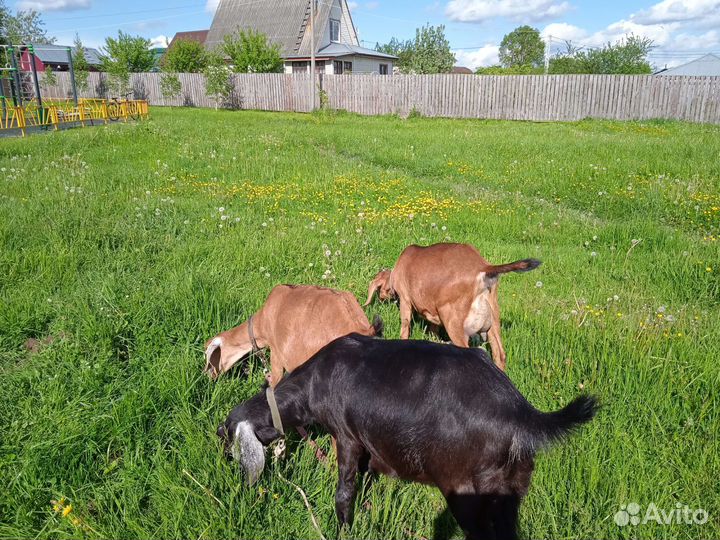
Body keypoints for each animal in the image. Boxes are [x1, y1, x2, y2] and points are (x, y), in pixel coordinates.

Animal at [217, 335, 598, 540]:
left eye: (226, 438)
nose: (226, 468)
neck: (312, 383)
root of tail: (519, 411)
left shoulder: (347, 436)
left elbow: (344, 492)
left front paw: (343, 528)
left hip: (465, 489)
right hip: (511, 490)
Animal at [365, 243, 541, 370]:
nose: (381, 299)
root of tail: (482, 267)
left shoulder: (406, 300)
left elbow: (405, 326)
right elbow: (433, 330)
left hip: (453, 321)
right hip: (493, 317)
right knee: (500, 354)